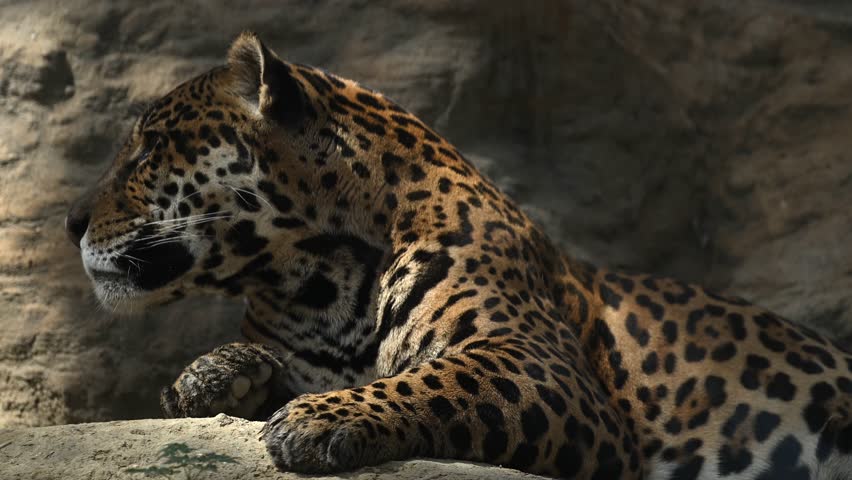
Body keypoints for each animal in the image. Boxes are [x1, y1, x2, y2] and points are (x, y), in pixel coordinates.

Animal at [65, 31, 852, 479]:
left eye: (149, 148)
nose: (70, 221)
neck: (314, 279)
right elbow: (250, 361)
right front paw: (206, 377)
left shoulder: (540, 363)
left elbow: (442, 381)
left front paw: (320, 420)